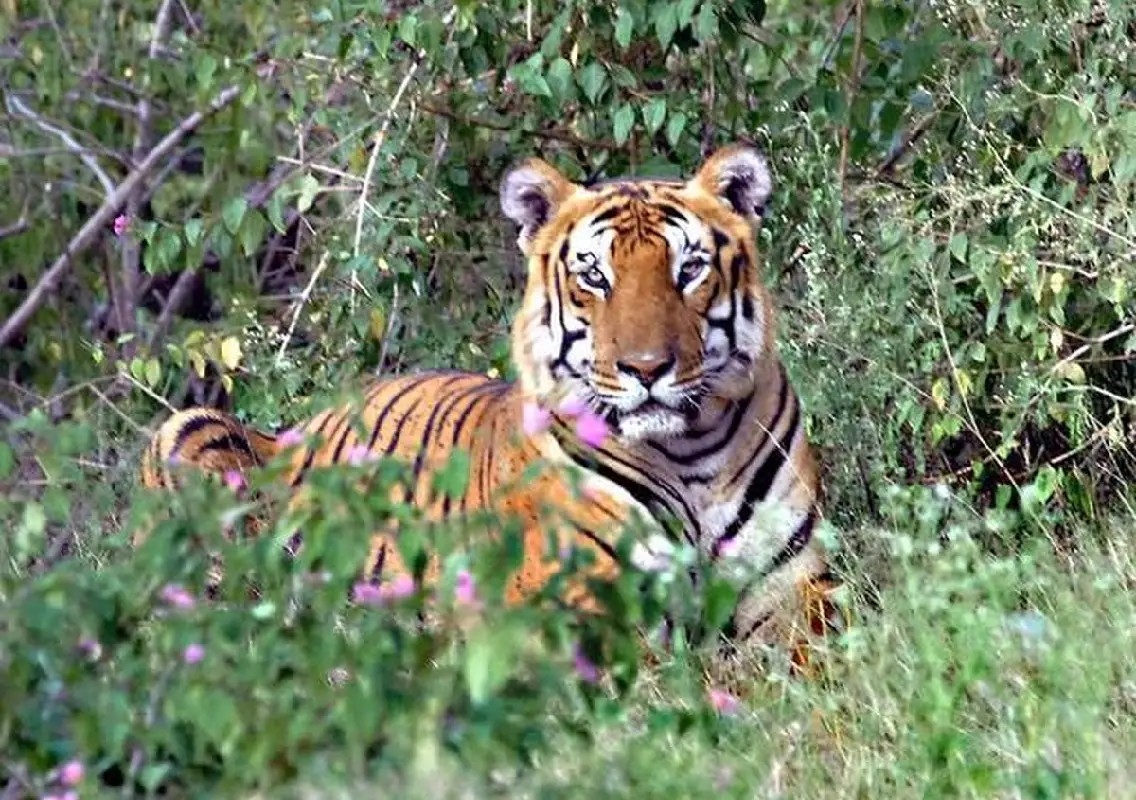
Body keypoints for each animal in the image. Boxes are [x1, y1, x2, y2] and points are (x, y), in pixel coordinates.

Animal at [140, 143, 841, 666]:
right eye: (594, 275)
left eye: (689, 269)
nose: (645, 369)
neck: (688, 454)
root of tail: (297, 429)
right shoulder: (573, 614)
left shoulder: (793, 590)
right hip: (185, 432)